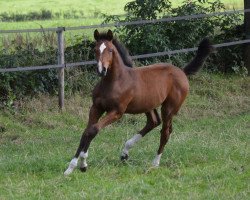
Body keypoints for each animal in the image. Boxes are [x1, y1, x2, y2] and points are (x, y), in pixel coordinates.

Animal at [64, 28, 213, 175]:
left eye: (110, 50)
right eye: (95, 49)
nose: (102, 70)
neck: (115, 81)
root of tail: (182, 72)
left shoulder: (117, 112)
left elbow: (93, 129)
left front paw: (81, 163)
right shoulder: (96, 108)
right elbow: (87, 131)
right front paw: (75, 166)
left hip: (169, 108)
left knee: (165, 132)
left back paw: (155, 163)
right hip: (148, 105)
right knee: (154, 122)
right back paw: (125, 153)